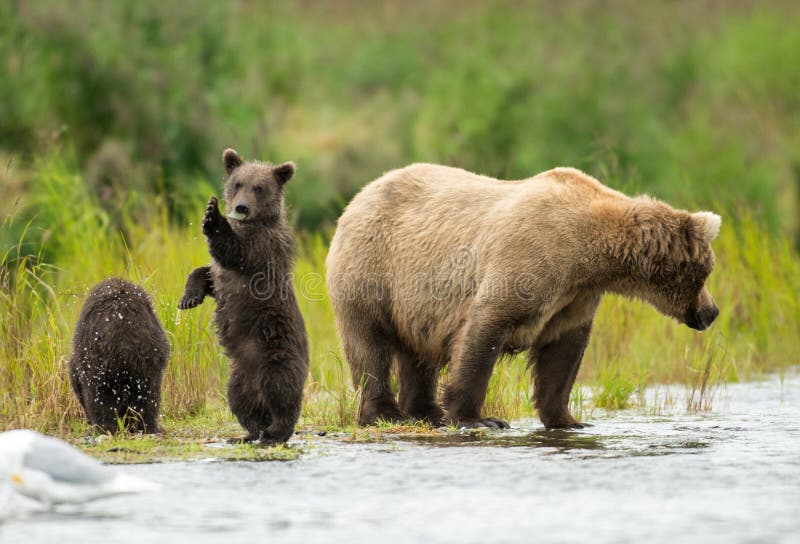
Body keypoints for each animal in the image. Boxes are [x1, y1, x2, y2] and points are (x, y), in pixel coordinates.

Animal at [69, 278, 170, 432]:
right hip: (145, 362)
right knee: (147, 396)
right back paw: (145, 425)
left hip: (100, 363)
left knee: (99, 396)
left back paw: (105, 427)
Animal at [180, 148, 308, 442]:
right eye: (238, 183)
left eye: (259, 188)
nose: (241, 208)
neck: (254, 223)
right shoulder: (223, 277)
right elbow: (207, 273)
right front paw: (189, 297)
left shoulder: (262, 250)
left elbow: (234, 251)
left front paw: (212, 215)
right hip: (240, 373)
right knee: (240, 400)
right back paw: (249, 433)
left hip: (276, 351)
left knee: (281, 390)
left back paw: (275, 432)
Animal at [324, 164, 720, 428]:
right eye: (706, 272)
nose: (711, 311)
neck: (590, 256)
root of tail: (359, 196)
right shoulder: (529, 260)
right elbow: (484, 331)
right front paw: (477, 418)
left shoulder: (574, 297)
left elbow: (562, 355)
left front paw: (568, 418)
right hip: (373, 269)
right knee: (369, 344)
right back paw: (385, 413)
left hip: (415, 301)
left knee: (417, 354)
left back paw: (426, 412)